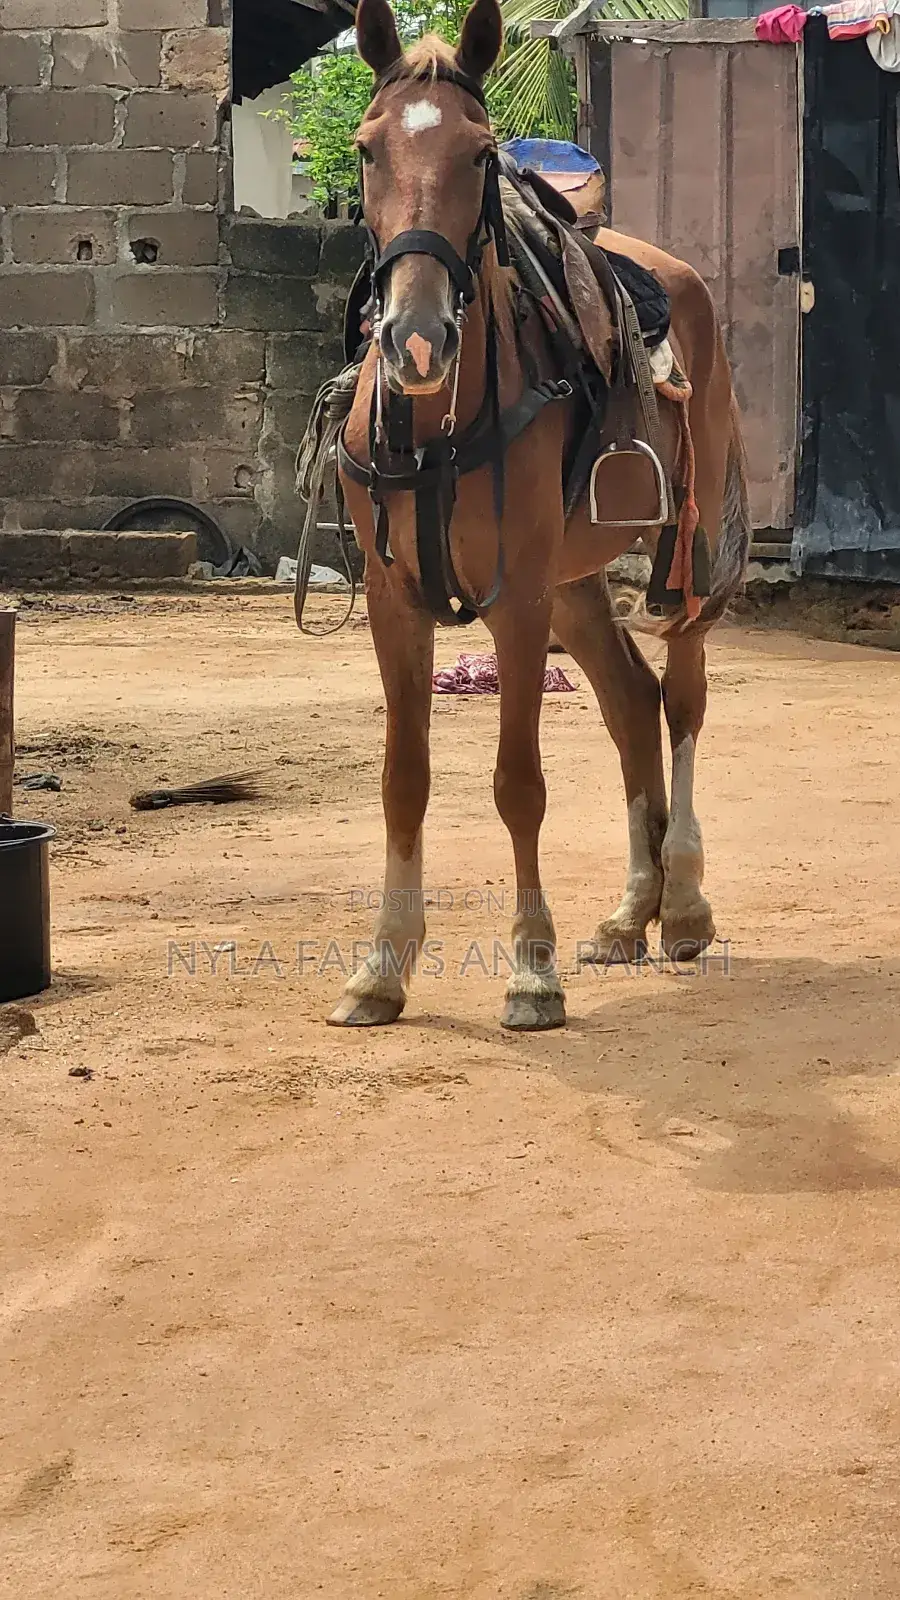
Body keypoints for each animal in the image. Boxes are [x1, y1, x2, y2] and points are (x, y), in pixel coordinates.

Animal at [326, 0, 751, 1031]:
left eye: (481, 154)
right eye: (365, 149)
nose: (418, 340)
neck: (438, 423)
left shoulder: (516, 601)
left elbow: (519, 784)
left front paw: (530, 970)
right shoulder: (398, 605)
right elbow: (404, 781)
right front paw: (383, 968)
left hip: (685, 559)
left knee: (682, 701)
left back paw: (683, 904)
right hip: (575, 581)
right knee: (632, 704)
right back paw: (630, 915)